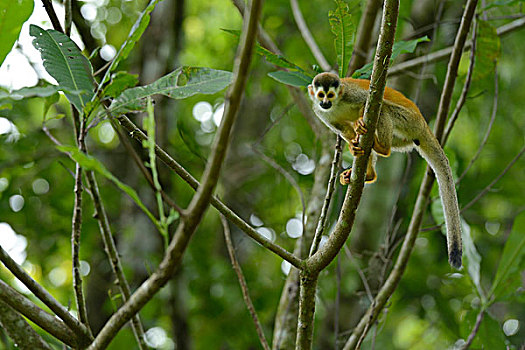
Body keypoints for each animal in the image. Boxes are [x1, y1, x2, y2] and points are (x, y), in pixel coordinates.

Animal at [310, 72, 460, 268]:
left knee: (384, 108)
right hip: (404, 139)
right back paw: (368, 173)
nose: (325, 103)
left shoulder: (351, 94)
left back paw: (382, 148)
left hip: (408, 121)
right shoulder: (321, 114)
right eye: (321, 95)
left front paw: (360, 123)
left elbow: (370, 102)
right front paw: (353, 145)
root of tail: (423, 124)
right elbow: (343, 129)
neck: (336, 104)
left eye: (330, 95)